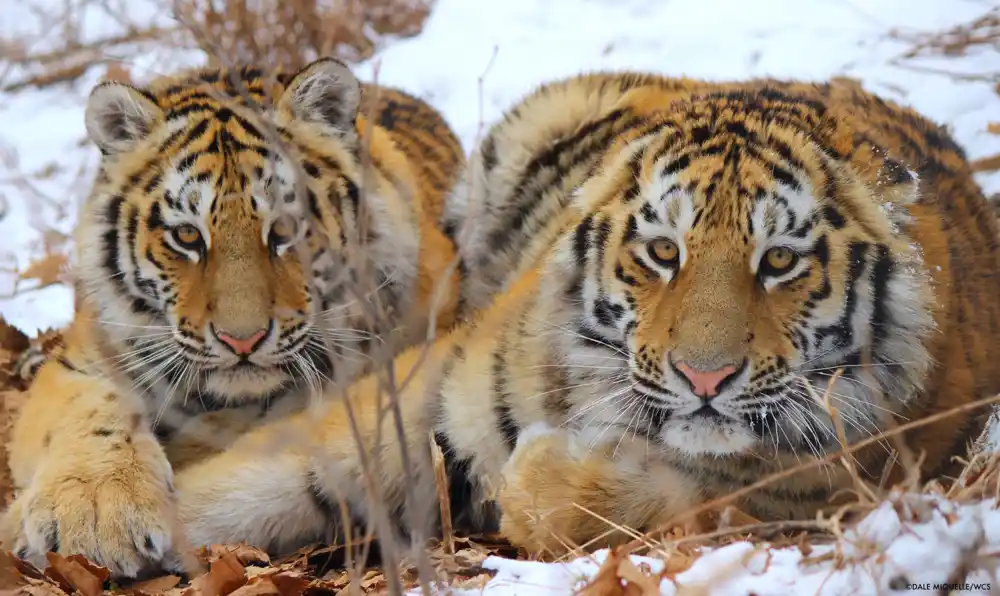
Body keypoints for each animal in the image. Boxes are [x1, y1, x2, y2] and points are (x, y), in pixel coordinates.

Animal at [0, 57, 468, 576]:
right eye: (187, 236)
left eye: (285, 228)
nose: (242, 341)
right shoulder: (84, 358)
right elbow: (90, 410)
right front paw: (96, 514)